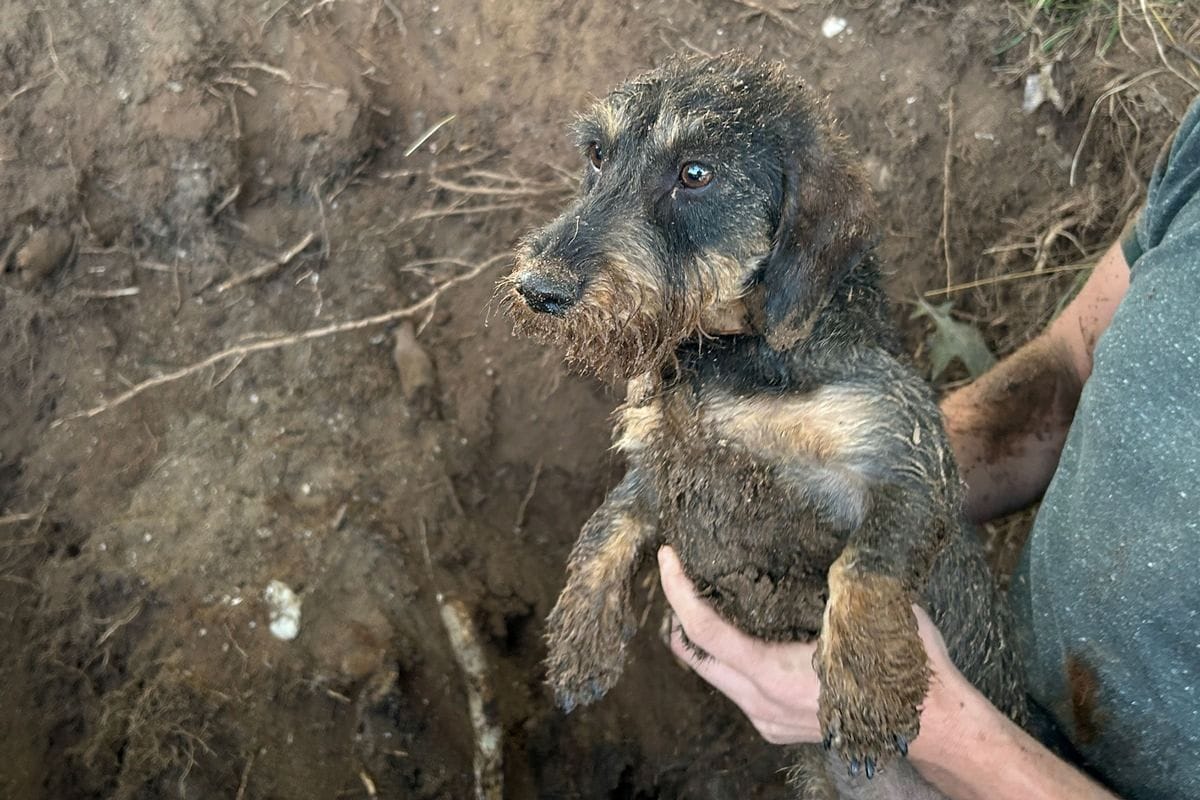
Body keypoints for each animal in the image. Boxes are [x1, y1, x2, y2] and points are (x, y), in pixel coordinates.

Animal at [501, 53, 1027, 796]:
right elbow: (602, 527)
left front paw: (866, 694)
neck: (727, 361)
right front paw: (580, 642)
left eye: (696, 173)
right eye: (597, 154)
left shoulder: (908, 457)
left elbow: (865, 564)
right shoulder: (657, 469)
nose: (537, 288)